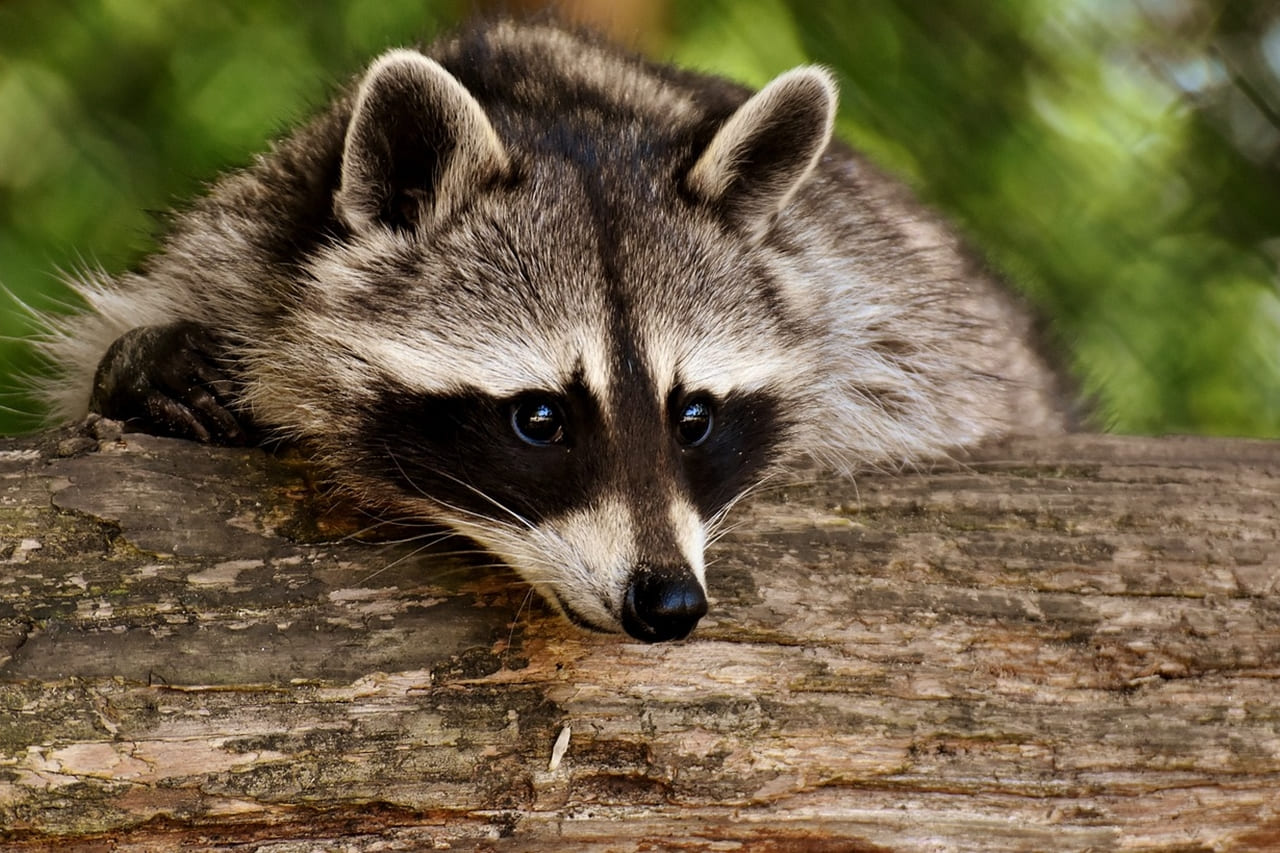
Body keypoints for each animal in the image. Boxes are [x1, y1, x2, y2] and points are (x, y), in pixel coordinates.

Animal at [35, 18, 1064, 637]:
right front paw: (143, 368)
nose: (669, 603)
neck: (556, 107)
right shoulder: (238, 243)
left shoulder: (879, 304)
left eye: (694, 416)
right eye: (539, 418)